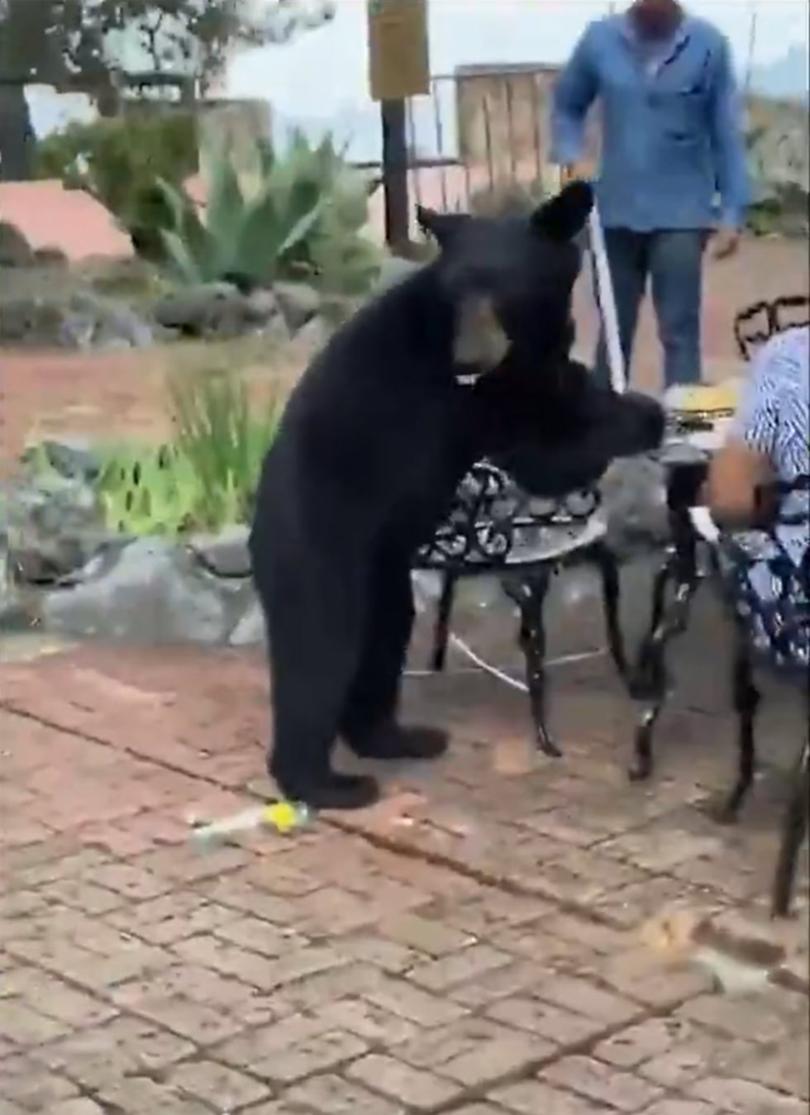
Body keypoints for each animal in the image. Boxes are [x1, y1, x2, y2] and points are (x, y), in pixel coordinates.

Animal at [252, 185, 664, 811]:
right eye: (458, 289)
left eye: (502, 286)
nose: (467, 357)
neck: (525, 345)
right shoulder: (481, 402)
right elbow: (545, 452)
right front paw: (640, 421)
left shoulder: (536, 363)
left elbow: (566, 399)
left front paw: (639, 406)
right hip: (319, 540)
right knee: (320, 644)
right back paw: (326, 781)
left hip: (384, 571)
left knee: (386, 634)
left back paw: (395, 737)